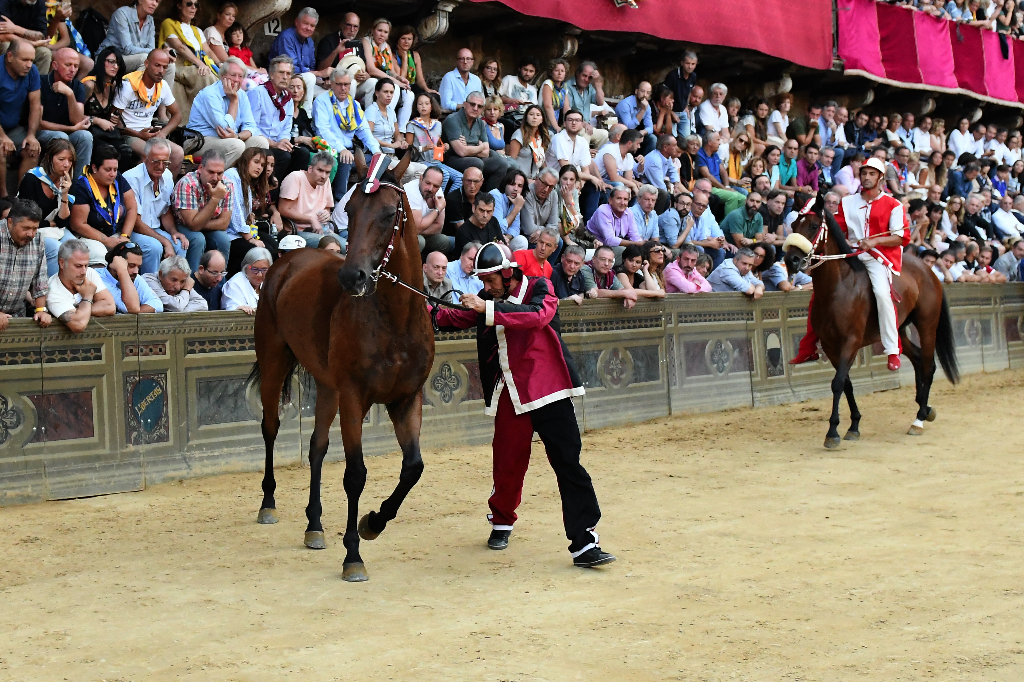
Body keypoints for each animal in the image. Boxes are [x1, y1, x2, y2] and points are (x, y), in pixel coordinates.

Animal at [253, 152, 438, 577]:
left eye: (387, 213)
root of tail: (287, 260)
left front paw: (374, 522)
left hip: (327, 386)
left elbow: (413, 467)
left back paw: (314, 525)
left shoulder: (406, 398)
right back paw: (268, 504)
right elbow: (355, 474)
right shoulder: (354, 396)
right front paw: (353, 554)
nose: (352, 276)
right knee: (270, 428)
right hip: (274, 360)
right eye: (349, 210)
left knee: (316, 447)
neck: (395, 320)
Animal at [782, 192, 958, 446]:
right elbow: (846, 383)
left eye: (814, 225)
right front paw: (853, 425)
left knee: (928, 364)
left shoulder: (851, 342)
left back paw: (919, 419)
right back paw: (924, 408)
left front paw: (832, 432)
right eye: (794, 224)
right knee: (916, 358)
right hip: (898, 330)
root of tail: (928, 270)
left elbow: (837, 383)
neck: (838, 288)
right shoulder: (830, 345)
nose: (791, 260)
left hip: (927, 325)